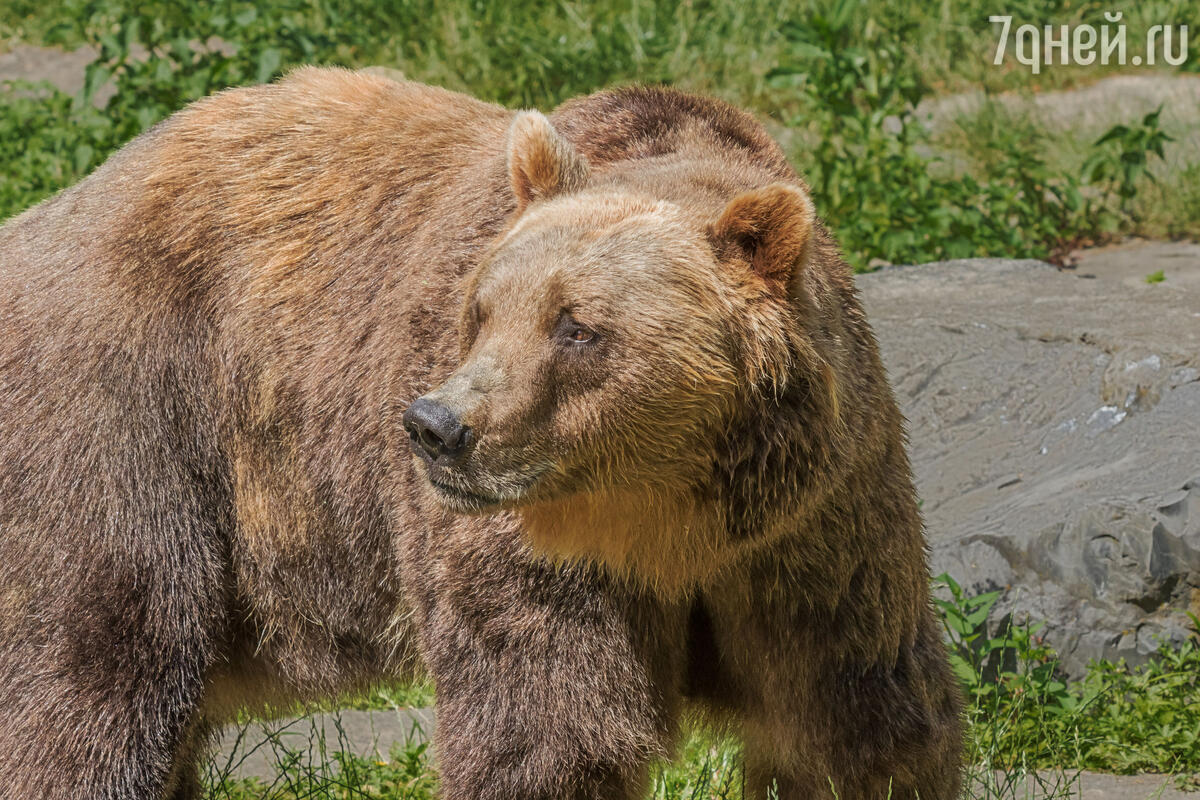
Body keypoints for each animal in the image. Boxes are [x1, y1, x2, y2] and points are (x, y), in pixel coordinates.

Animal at [0, 68, 960, 800]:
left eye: (577, 327)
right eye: (482, 309)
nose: (435, 427)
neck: (670, 517)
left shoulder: (812, 530)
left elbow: (855, 720)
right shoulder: (532, 546)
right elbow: (544, 726)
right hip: (134, 414)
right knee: (104, 668)